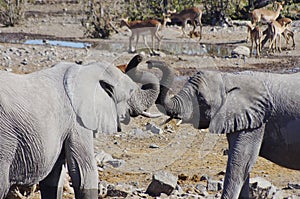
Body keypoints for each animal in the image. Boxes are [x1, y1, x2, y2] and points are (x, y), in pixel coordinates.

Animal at [0, 54, 161, 199]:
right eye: (131, 91)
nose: (142, 57)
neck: (84, 69)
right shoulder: (77, 122)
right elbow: (84, 173)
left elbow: (54, 178)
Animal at [147, 60, 300, 199]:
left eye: (201, 100)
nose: (149, 63)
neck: (229, 78)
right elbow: (240, 161)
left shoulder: (257, 120)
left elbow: (241, 162)